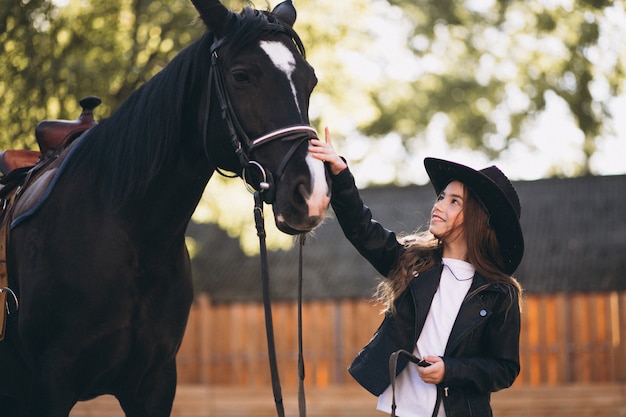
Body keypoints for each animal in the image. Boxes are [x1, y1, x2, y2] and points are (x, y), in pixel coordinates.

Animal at [0, 1, 330, 414]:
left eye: (310, 81)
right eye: (241, 76)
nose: (311, 192)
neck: (129, 237)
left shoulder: (155, 384)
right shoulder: (51, 385)